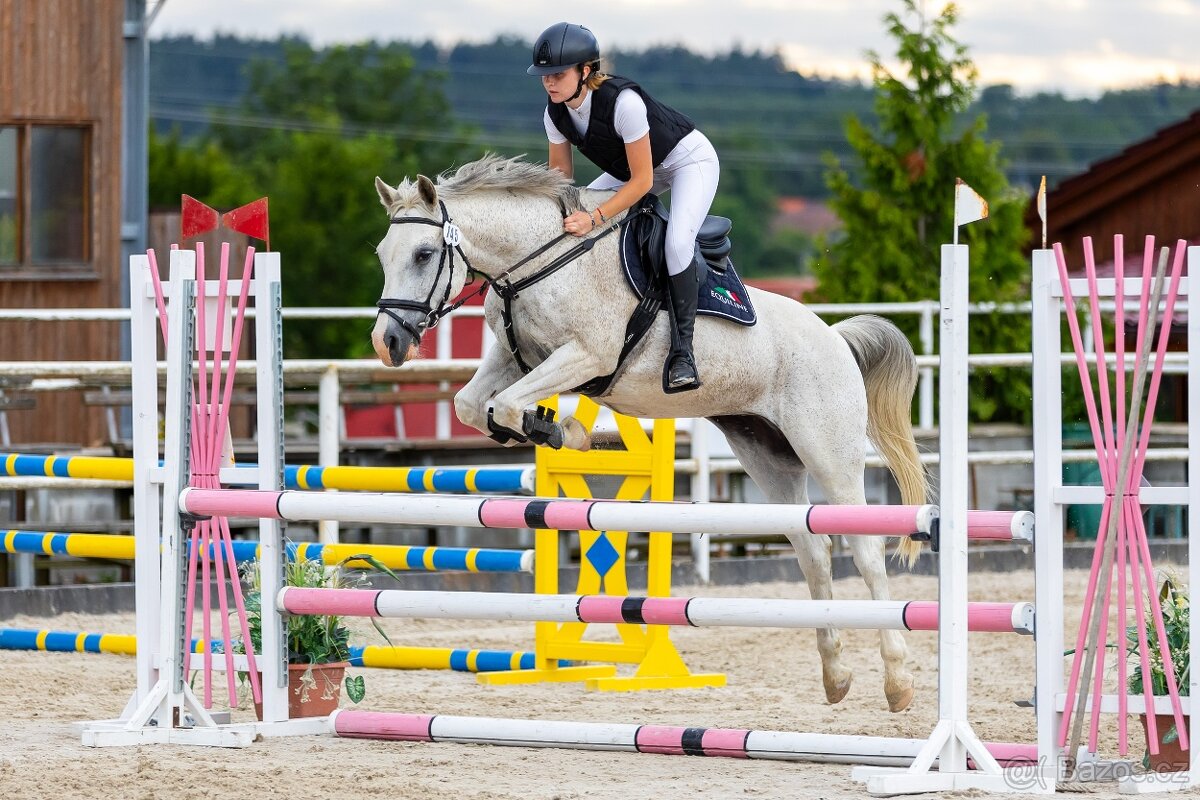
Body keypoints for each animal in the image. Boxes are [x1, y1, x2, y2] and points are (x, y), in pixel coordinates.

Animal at [370, 155, 929, 713]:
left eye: (424, 254)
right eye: (382, 254)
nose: (388, 342)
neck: (537, 263)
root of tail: (834, 337)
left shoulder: (586, 356)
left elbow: (507, 403)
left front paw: (564, 430)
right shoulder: (513, 358)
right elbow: (471, 404)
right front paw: (550, 429)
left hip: (828, 453)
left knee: (865, 549)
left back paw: (898, 681)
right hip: (767, 455)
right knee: (813, 550)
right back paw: (835, 676)